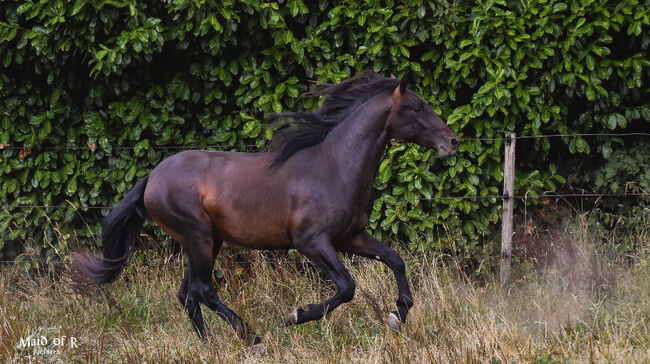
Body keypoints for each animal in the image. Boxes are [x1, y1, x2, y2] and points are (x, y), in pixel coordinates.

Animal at [73, 72, 458, 346]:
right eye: (416, 108)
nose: (453, 141)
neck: (334, 166)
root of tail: (152, 177)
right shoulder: (311, 242)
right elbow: (347, 287)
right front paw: (297, 315)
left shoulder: (351, 237)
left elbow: (395, 260)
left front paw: (397, 316)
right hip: (198, 237)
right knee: (203, 290)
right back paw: (252, 338)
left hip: (205, 241)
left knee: (188, 294)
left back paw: (210, 345)